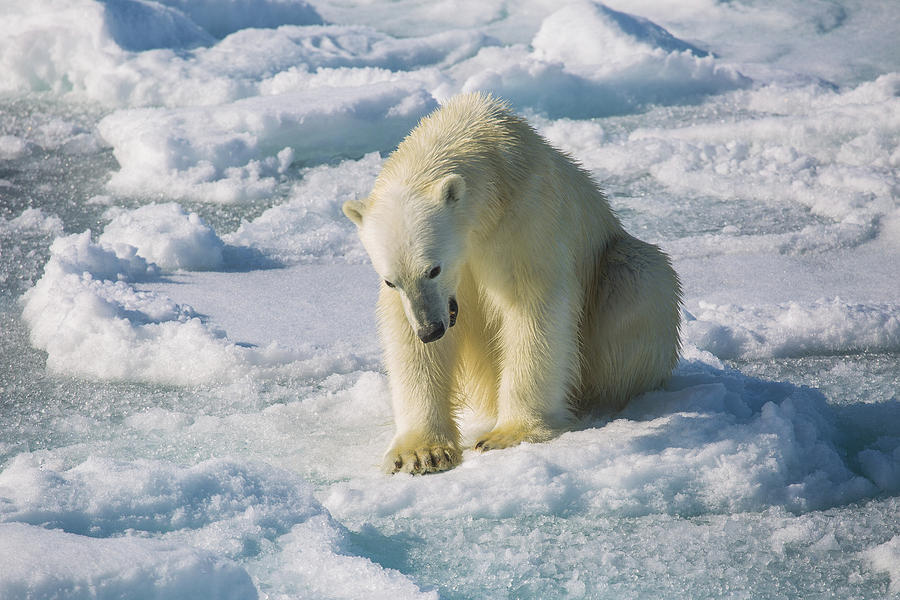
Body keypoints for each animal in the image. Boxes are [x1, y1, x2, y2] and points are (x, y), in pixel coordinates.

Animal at [342, 92, 680, 474]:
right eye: (390, 281)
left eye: (434, 269)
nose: (430, 330)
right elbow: (405, 337)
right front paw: (420, 453)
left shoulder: (524, 221)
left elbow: (532, 310)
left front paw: (506, 435)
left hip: (616, 269)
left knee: (641, 277)